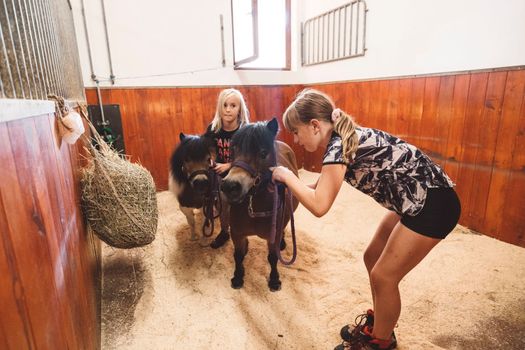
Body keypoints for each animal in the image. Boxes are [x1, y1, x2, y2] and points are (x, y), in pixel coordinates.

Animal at [220, 119, 296, 292]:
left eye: (263, 153)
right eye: (233, 150)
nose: (230, 186)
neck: (254, 207)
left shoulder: (272, 236)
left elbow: (273, 257)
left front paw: (274, 280)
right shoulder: (237, 233)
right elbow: (238, 255)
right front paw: (238, 277)